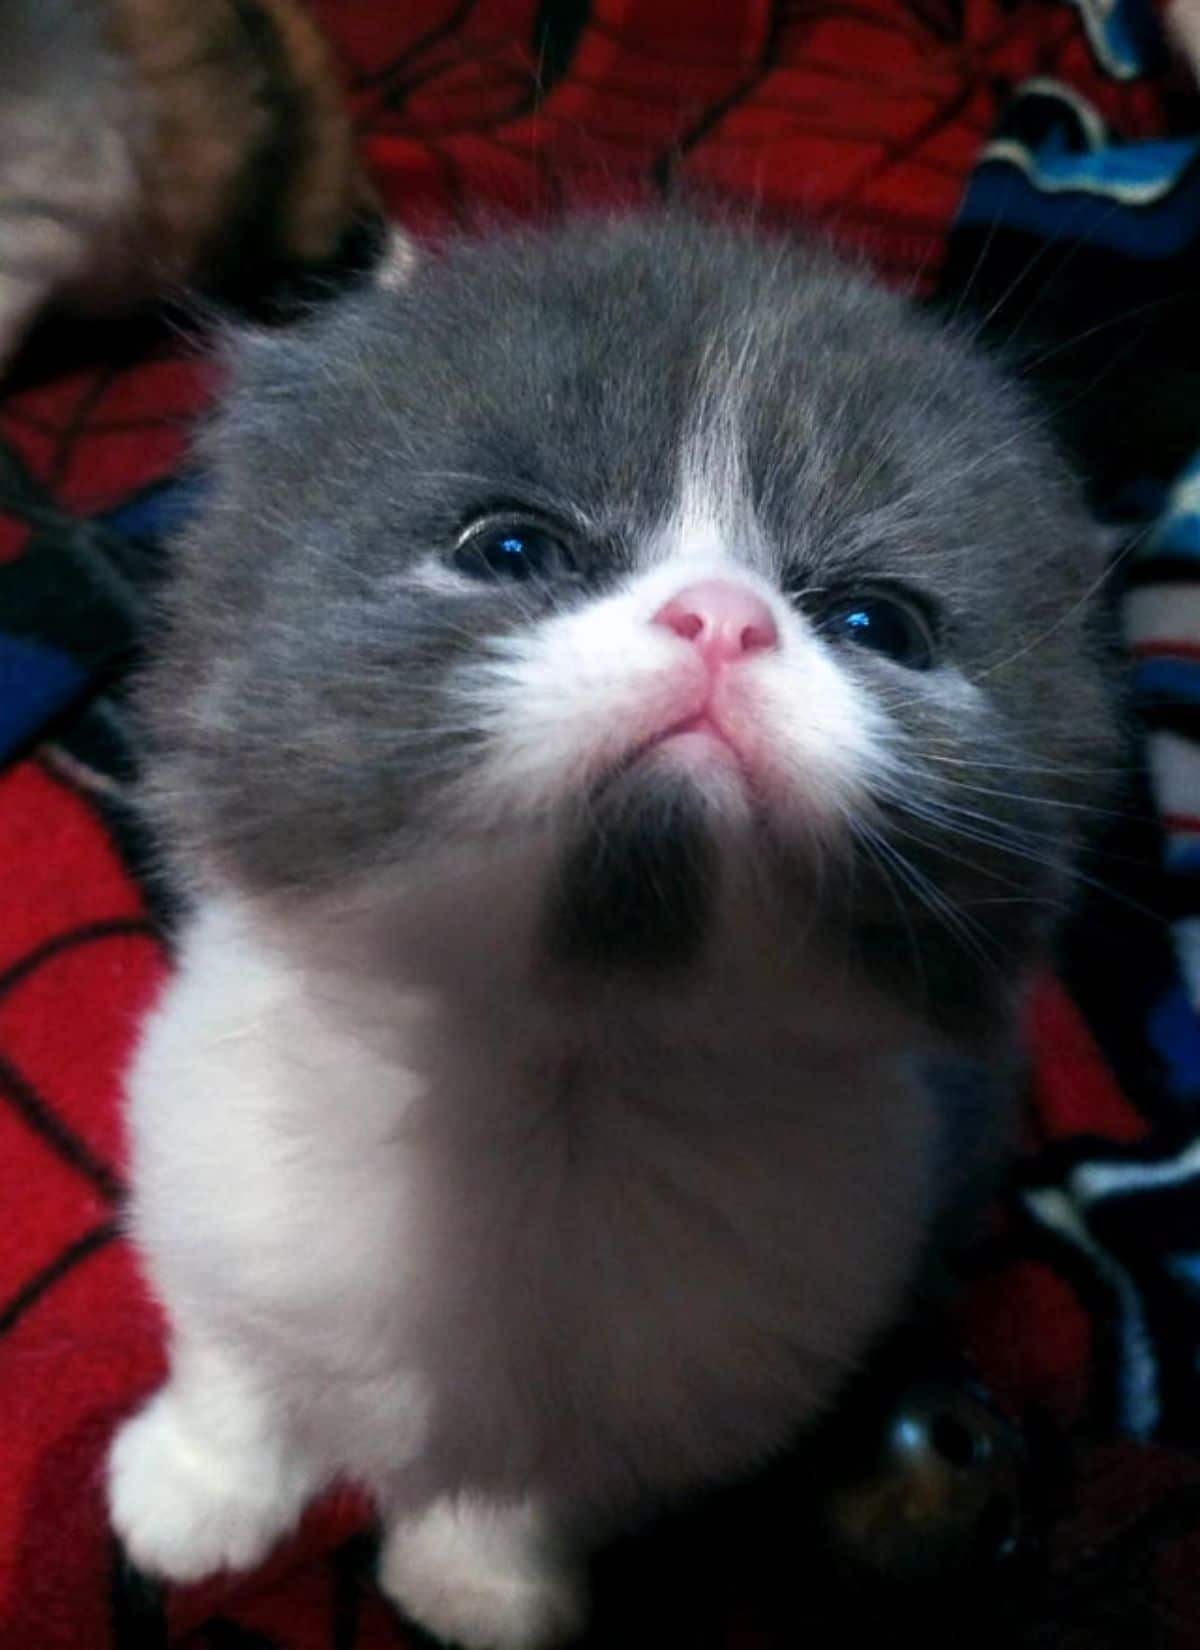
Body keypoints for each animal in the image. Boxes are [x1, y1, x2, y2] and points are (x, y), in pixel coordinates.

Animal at [105, 212, 1115, 1643]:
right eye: (511, 551)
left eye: (878, 623)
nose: (725, 620)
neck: (552, 1076)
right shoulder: (211, 1184)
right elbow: (234, 1358)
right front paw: (194, 1495)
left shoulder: (712, 1388)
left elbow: (545, 1487)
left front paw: (475, 1584)